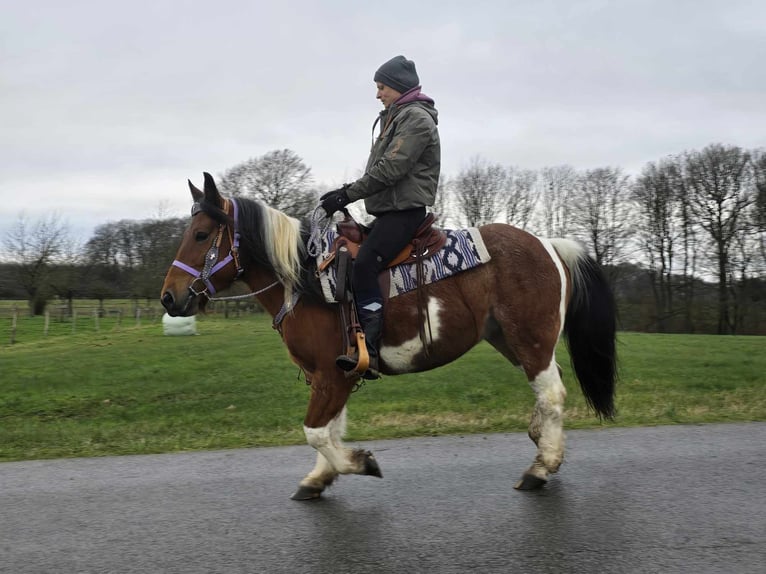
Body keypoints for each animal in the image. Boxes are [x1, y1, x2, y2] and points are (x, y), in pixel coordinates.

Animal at [160, 173, 616, 502]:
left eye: (201, 235)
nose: (169, 297)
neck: (305, 280)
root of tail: (549, 244)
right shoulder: (333, 376)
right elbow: (329, 429)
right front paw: (319, 478)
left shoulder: (331, 375)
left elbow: (317, 432)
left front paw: (360, 464)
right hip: (511, 339)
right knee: (549, 388)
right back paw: (542, 445)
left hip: (530, 338)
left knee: (552, 392)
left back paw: (541, 468)